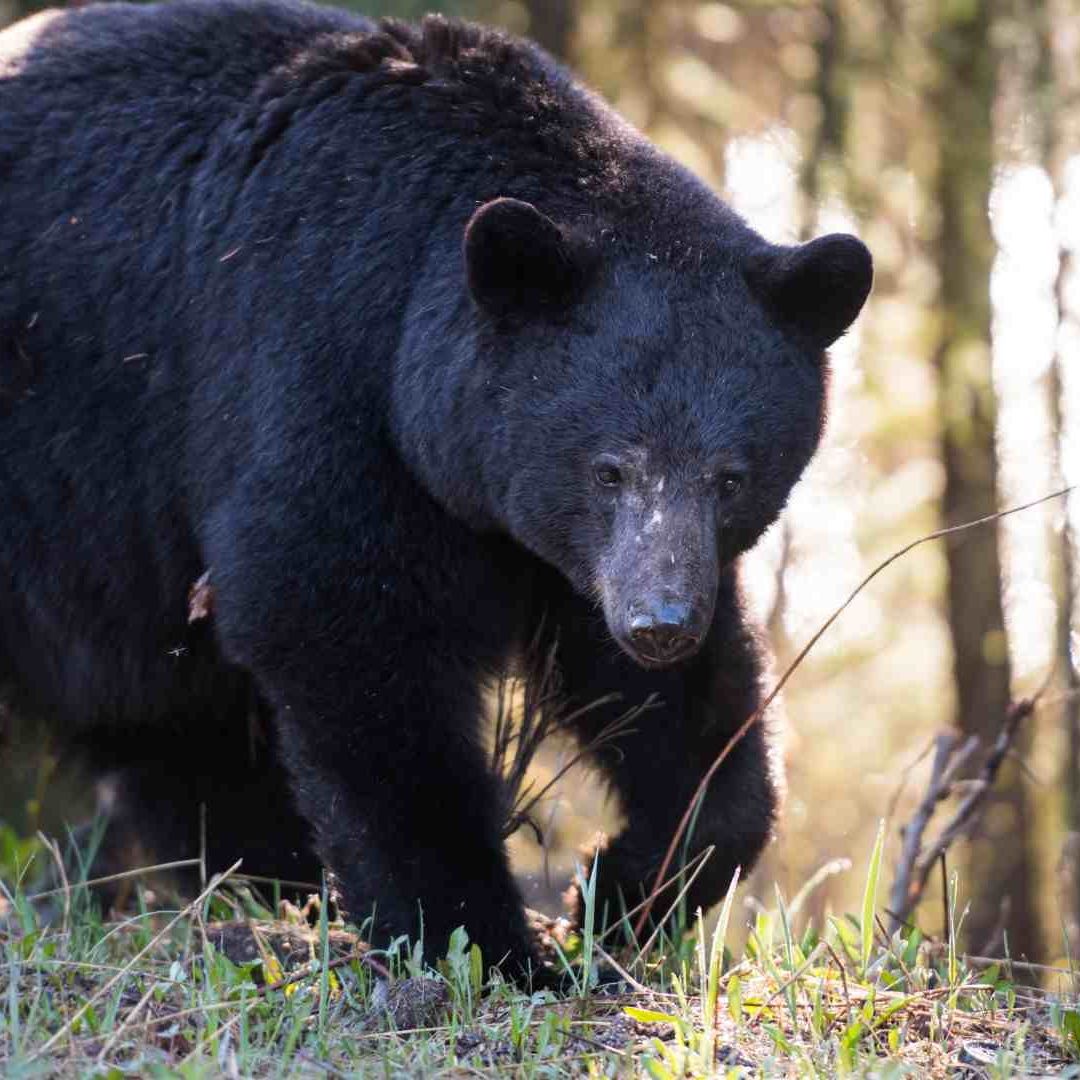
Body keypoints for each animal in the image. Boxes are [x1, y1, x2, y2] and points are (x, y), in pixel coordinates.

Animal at [0, 0, 872, 981]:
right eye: (608, 466)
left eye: (730, 478)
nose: (660, 624)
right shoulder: (314, 368)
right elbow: (345, 629)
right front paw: (482, 936)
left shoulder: (562, 547)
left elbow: (678, 705)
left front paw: (623, 889)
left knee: (173, 727)